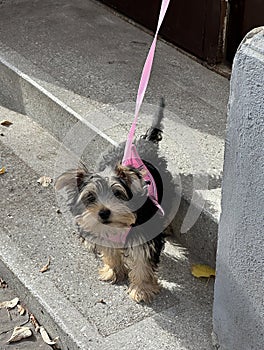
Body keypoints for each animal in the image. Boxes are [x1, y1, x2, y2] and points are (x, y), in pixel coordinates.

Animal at [55, 99, 176, 304]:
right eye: (90, 197)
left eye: (118, 194)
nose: (103, 212)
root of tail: (144, 142)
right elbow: (110, 250)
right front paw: (113, 270)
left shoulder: (144, 233)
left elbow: (142, 260)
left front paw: (141, 289)